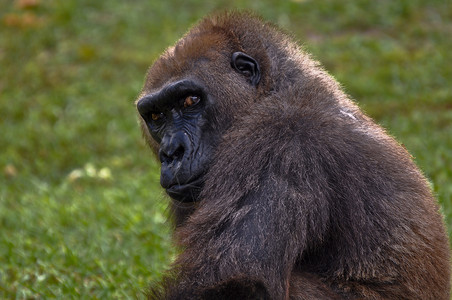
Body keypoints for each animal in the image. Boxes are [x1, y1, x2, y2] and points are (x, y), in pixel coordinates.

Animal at [134, 11, 448, 300]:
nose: (171, 152)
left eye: (191, 100)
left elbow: (239, 282)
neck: (273, 89)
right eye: (156, 116)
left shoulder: (278, 141)